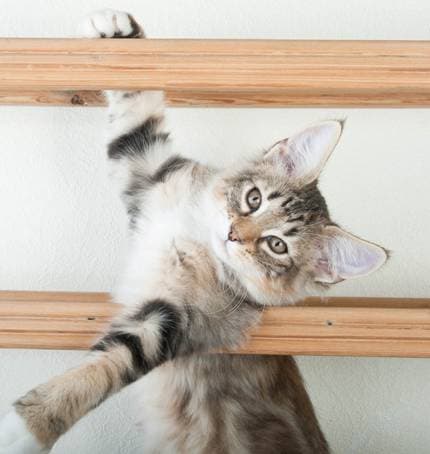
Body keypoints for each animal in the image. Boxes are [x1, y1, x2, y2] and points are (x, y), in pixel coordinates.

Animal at [0, 9, 387, 454]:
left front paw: (26, 428)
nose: (234, 234)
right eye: (254, 199)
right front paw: (118, 27)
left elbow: (103, 369)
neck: (197, 236)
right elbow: (137, 111)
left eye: (275, 245)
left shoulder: (176, 321)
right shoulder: (150, 171)